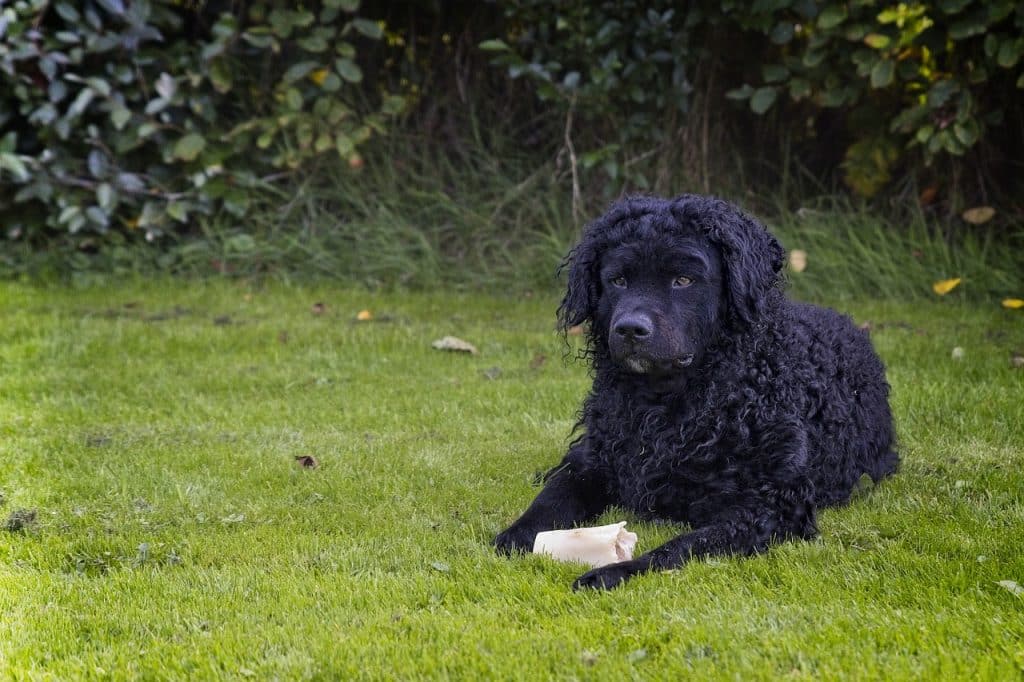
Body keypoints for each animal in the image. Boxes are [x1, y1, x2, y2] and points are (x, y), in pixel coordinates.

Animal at [495, 193, 897, 585]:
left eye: (683, 280)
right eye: (619, 280)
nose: (630, 329)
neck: (668, 405)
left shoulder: (773, 506)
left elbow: (677, 547)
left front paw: (614, 571)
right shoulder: (595, 462)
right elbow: (551, 501)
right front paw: (516, 535)